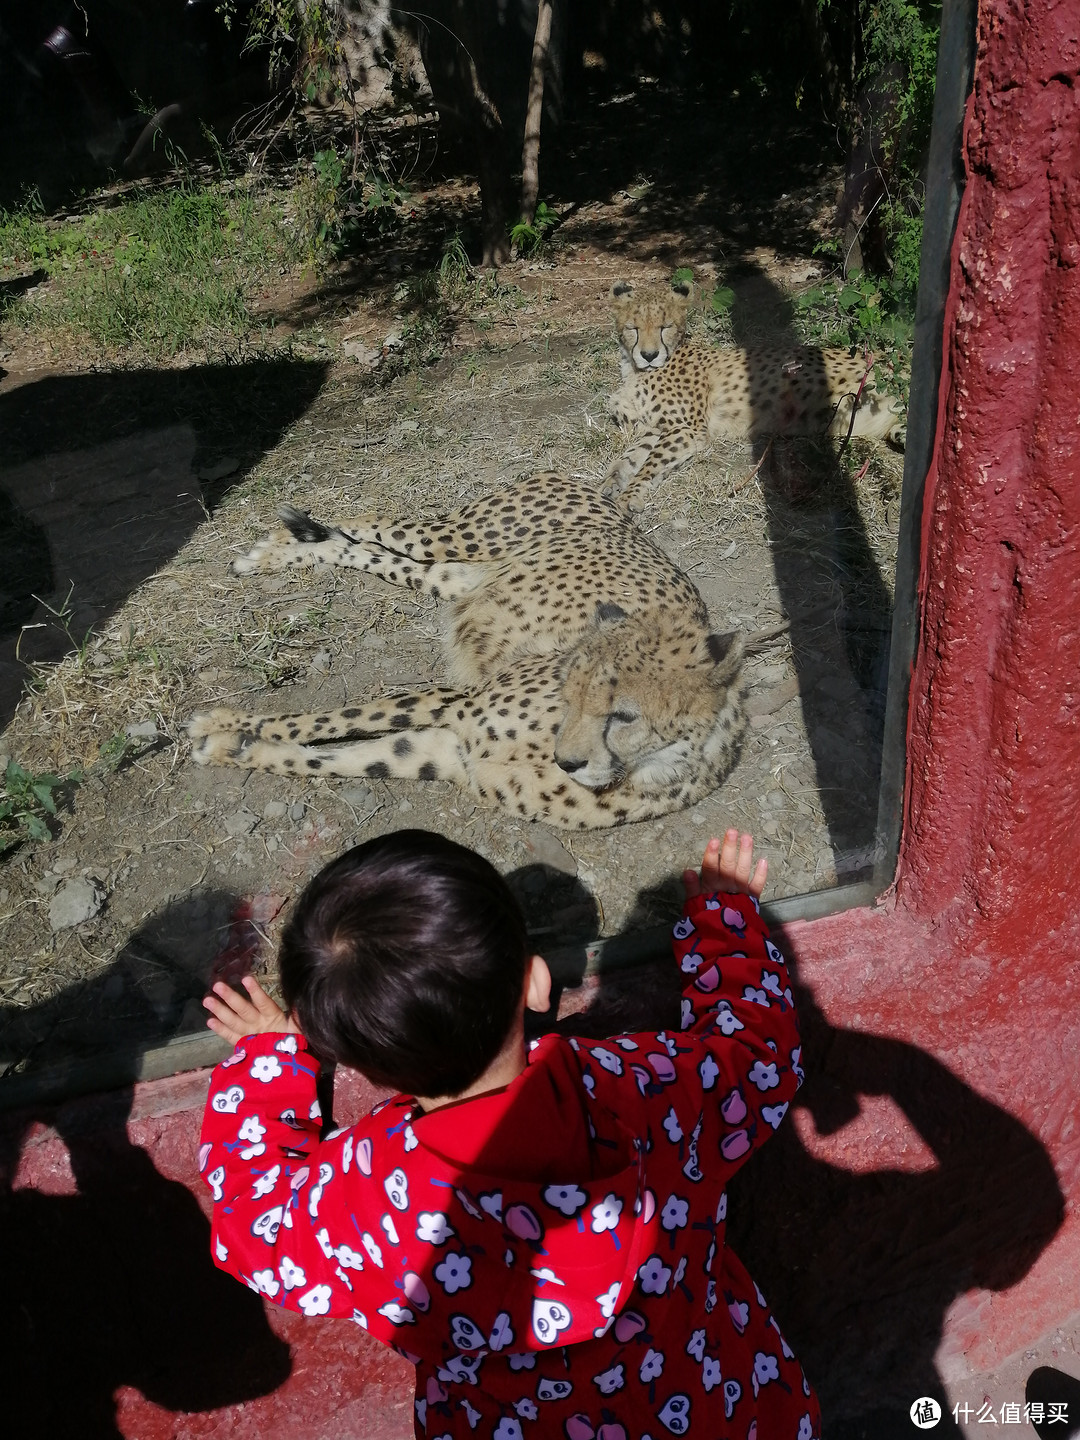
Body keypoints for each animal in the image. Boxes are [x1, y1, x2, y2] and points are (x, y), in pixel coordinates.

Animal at [188, 475, 743, 835]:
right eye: (568, 690)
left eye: (624, 714)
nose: (568, 761)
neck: (646, 771)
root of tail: (592, 490)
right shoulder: (461, 702)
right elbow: (332, 718)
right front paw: (219, 723)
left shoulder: (446, 753)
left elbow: (332, 759)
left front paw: (231, 747)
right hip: (458, 537)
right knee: (374, 520)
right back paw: (273, 545)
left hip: (453, 579)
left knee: (368, 551)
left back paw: (282, 552)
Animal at [610, 277, 904, 509]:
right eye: (633, 328)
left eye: (665, 326)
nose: (649, 355)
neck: (636, 370)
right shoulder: (656, 428)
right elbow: (630, 458)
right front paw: (610, 485)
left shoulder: (688, 429)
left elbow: (650, 463)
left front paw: (629, 496)